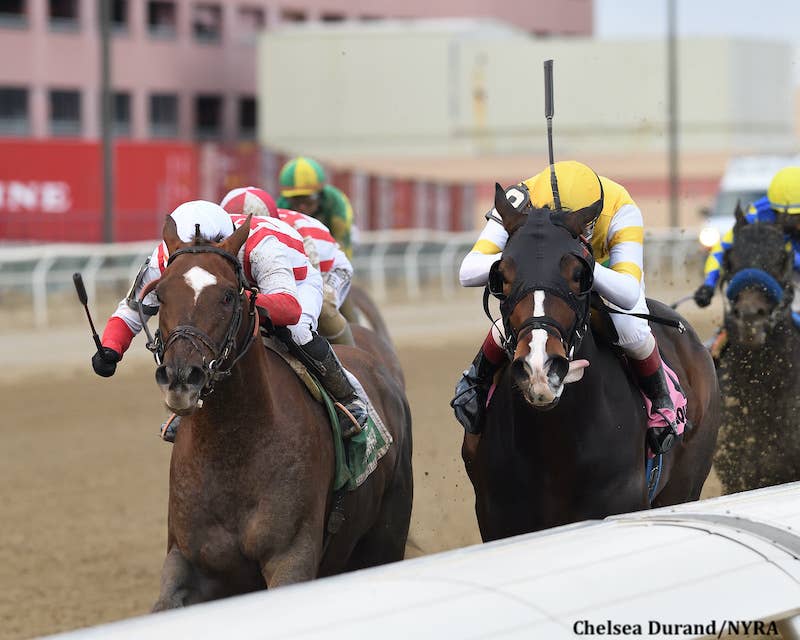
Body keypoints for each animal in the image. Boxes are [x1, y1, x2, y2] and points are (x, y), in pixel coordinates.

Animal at [149, 216, 413, 609]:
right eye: (161, 294)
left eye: (228, 296)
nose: (181, 376)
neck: (232, 451)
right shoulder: (186, 558)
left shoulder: (291, 556)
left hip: (386, 538)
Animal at [465, 185, 720, 541]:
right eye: (501, 276)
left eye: (578, 275)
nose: (540, 368)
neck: (553, 448)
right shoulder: (497, 519)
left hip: (686, 482)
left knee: (634, 333)